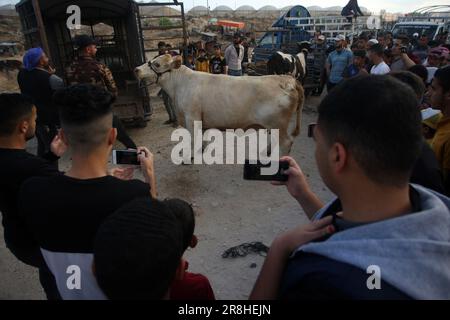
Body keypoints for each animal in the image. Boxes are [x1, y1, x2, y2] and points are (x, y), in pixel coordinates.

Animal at [135, 54, 304, 154]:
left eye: (157, 64)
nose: (136, 69)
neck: (179, 86)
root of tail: (286, 80)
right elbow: (200, 136)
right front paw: (202, 148)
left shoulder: (192, 116)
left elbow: (193, 137)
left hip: (277, 123)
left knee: (286, 143)